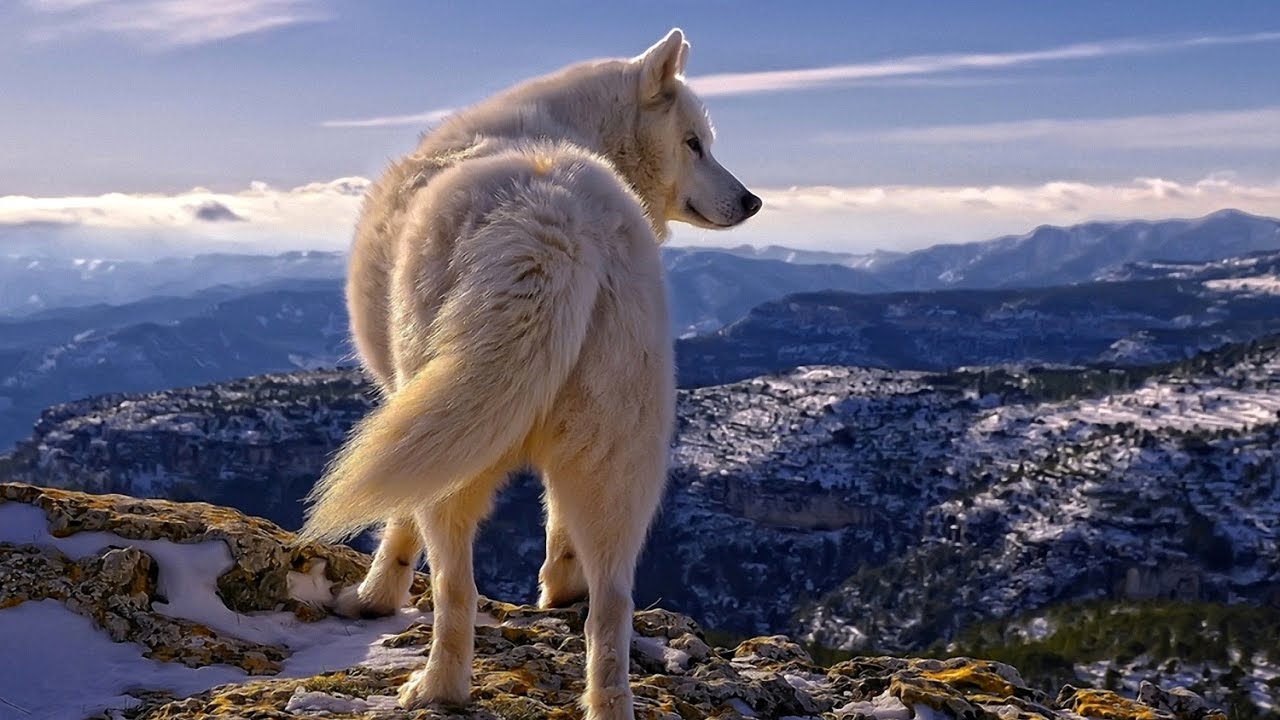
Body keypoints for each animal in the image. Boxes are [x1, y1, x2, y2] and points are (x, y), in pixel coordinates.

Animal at [299, 29, 757, 717]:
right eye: (694, 143)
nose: (753, 201)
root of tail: (555, 222)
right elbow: (558, 530)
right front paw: (560, 587)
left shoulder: (409, 404)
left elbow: (397, 523)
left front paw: (374, 598)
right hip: (617, 456)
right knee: (612, 604)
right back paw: (607, 700)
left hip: (456, 446)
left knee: (457, 589)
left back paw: (436, 687)